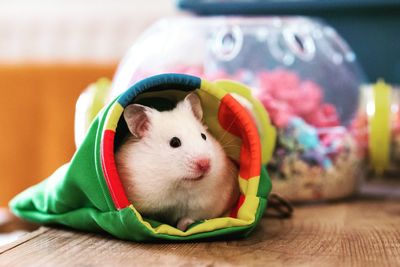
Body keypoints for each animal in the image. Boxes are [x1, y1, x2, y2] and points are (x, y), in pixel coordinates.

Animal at [115, 93, 241, 231]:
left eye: (204, 136)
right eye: (174, 142)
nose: (205, 164)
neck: (178, 185)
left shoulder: (207, 205)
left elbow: (189, 217)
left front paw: (182, 227)